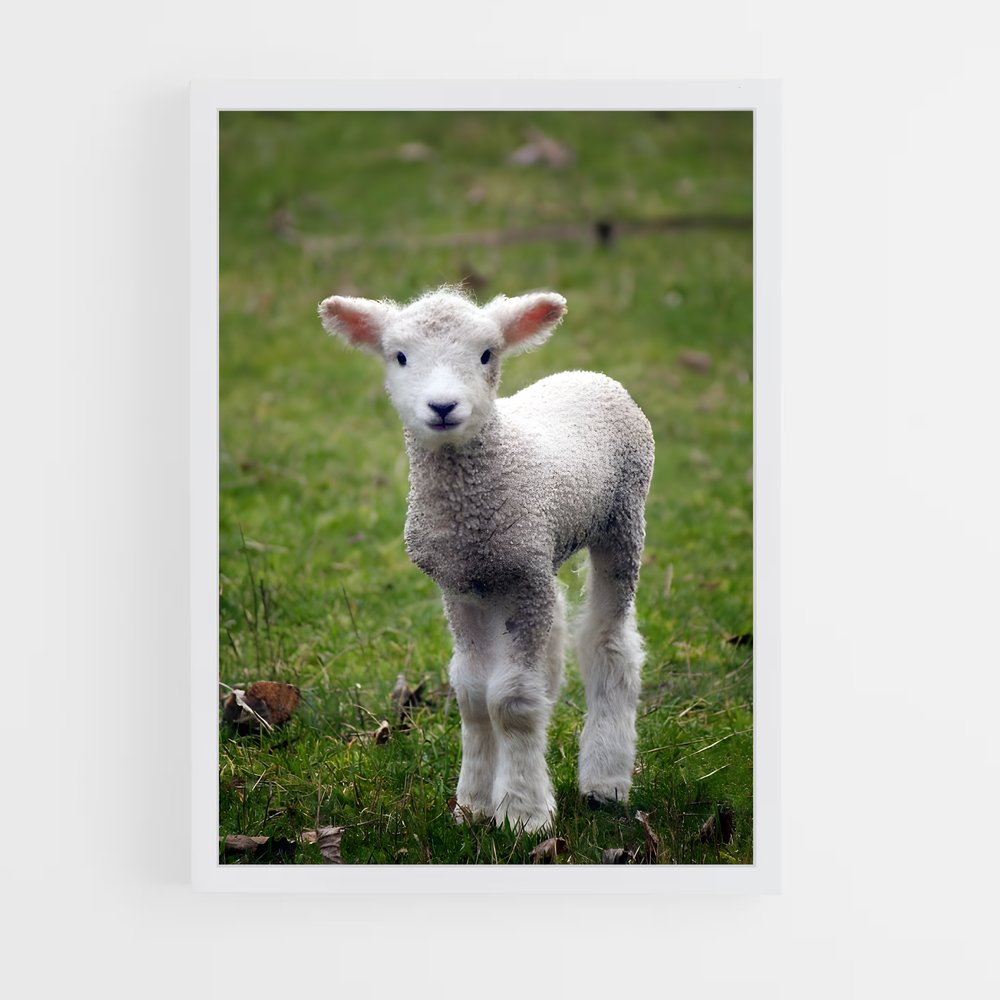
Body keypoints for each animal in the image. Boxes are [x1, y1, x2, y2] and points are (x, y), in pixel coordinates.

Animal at [318, 286, 654, 833]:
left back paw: (605, 782)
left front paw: (522, 813)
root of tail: (589, 375)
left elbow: (512, 702)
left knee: (609, 642)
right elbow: (475, 696)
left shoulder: (522, 581)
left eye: (485, 354)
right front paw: (472, 804)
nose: (442, 406)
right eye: (400, 356)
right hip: (537, 555)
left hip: (622, 519)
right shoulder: (461, 586)